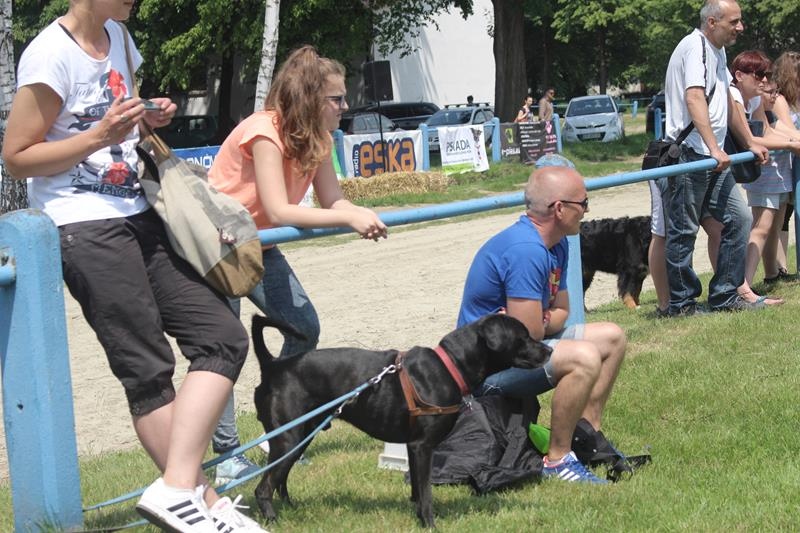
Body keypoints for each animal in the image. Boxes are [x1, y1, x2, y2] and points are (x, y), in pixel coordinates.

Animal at [251, 313, 550, 528]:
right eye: (523, 336)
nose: (548, 351)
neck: (450, 366)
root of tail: (273, 366)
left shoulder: (412, 445)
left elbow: (417, 489)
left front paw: (417, 515)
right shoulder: (423, 446)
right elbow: (426, 492)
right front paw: (430, 524)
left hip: (301, 436)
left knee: (280, 478)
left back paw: (291, 508)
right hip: (288, 438)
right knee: (263, 487)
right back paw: (273, 519)